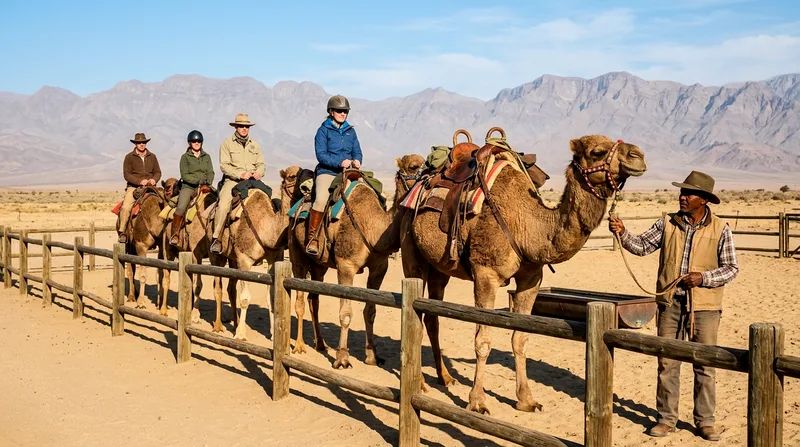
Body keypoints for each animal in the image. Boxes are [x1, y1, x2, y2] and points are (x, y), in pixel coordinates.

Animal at [120, 179, 178, 309]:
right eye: (167, 187)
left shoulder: (161, 247)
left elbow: (160, 273)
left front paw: (160, 303)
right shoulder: (141, 246)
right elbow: (142, 275)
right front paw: (141, 302)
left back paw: (135, 294)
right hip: (127, 244)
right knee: (130, 269)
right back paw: (132, 296)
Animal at [161, 189, 217, 320]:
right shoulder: (196, 254)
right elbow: (198, 285)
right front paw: (195, 315)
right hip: (167, 248)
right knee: (166, 277)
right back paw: (163, 310)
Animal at [209, 166, 302, 340]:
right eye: (292, 176)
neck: (264, 226)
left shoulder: (273, 259)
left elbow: (271, 297)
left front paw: (272, 334)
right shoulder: (244, 260)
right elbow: (245, 298)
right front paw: (240, 334)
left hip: (233, 259)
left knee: (231, 289)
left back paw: (235, 322)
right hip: (216, 254)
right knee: (217, 286)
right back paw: (218, 326)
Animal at [288, 156, 424, 368]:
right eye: (413, 166)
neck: (372, 227)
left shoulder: (379, 268)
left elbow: (370, 311)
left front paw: (372, 356)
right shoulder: (346, 266)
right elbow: (345, 313)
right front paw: (342, 358)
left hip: (319, 264)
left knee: (314, 299)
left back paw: (320, 344)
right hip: (297, 254)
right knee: (300, 298)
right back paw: (300, 347)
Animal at [401, 133, 647, 414]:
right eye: (597, 151)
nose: (638, 156)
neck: (527, 225)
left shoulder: (531, 279)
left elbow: (521, 338)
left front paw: (526, 400)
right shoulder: (485, 275)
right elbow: (483, 340)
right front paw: (477, 402)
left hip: (441, 268)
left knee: (432, 316)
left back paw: (445, 377)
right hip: (412, 254)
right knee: (417, 308)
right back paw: (421, 383)